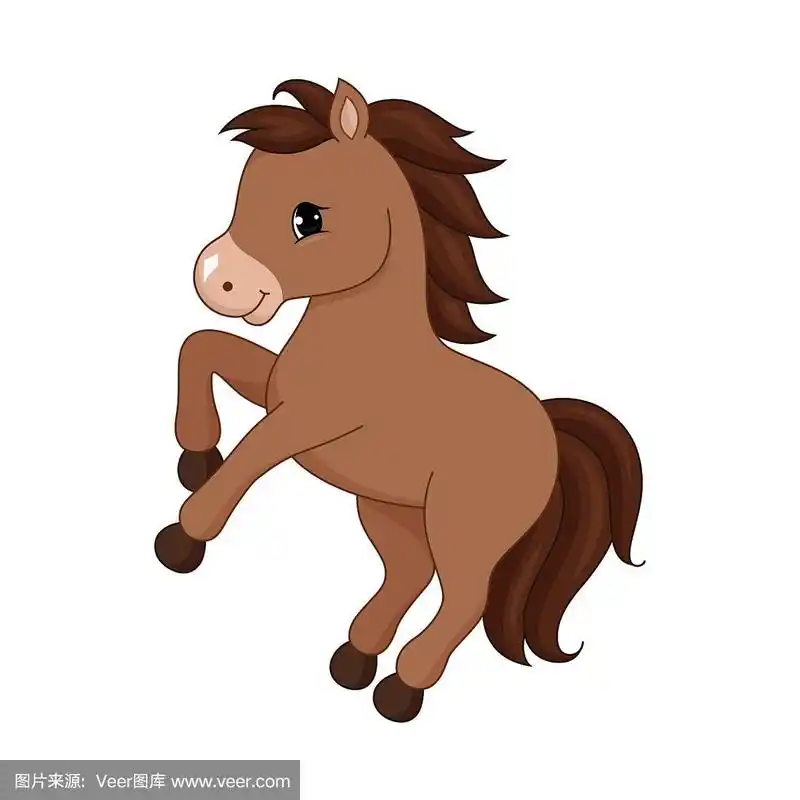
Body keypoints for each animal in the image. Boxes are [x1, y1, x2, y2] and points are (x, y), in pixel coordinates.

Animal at [154, 78, 644, 723]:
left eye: (307, 217)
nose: (215, 279)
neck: (366, 346)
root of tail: (548, 428)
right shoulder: (276, 392)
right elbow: (200, 348)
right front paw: (195, 458)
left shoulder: (313, 421)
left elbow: (253, 452)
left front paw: (184, 537)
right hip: (393, 511)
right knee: (410, 575)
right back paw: (356, 660)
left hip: (464, 526)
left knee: (463, 600)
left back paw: (402, 689)